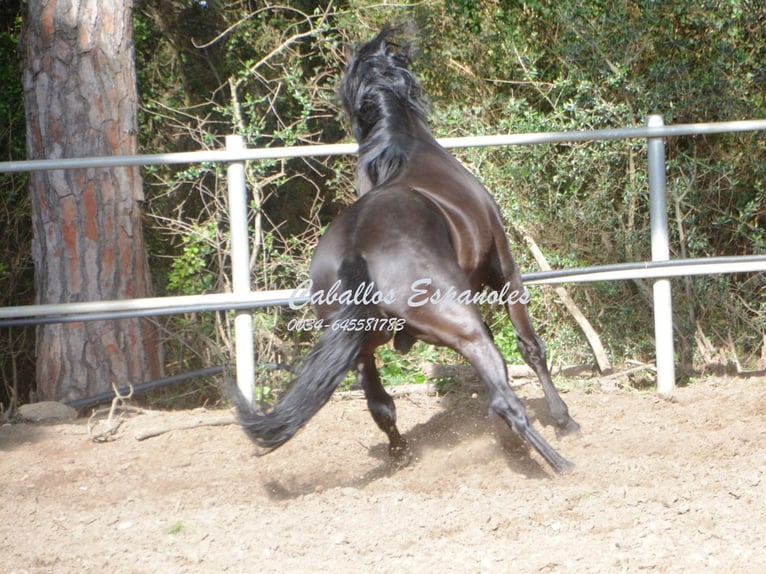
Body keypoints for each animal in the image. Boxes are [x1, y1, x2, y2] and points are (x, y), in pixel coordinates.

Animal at [236, 29, 584, 474]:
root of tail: (357, 247)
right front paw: (563, 419)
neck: (407, 148)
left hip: (363, 349)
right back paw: (559, 462)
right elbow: (530, 347)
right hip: (460, 325)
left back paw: (405, 456)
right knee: (504, 397)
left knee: (382, 406)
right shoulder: (505, 271)